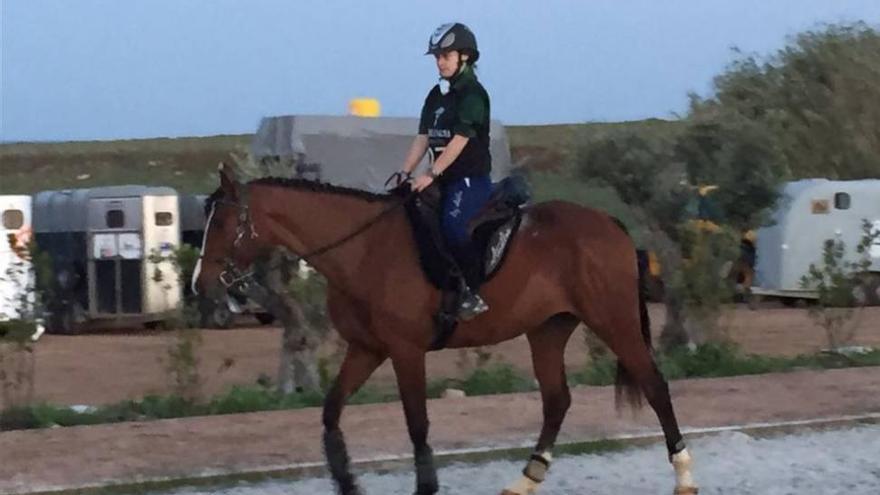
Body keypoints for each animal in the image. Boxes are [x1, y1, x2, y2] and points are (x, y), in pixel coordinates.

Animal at [194, 166, 700, 495]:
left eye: (223, 222)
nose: (201, 285)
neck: (364, 249)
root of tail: (609, 223)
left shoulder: (405, 350)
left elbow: (417, 423)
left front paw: (425, 486)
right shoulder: (367, 349)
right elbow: (331, 411)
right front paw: (347, 481)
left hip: (614, 321)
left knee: (654, 385)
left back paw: (684, 475)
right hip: (548, 330)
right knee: (557, 401)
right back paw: (525, 480)